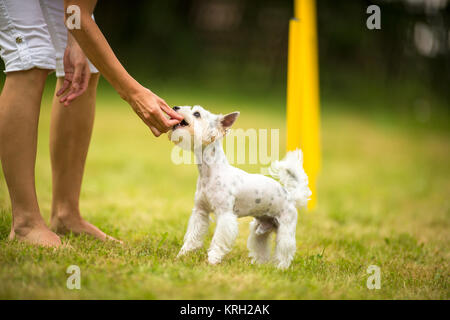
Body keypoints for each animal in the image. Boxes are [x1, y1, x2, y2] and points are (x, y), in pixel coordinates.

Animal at [168, 106, 310, 268]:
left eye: (197, 113)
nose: (175, 107)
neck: (209, 172)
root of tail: (290, 195)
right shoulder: (200, 212)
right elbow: (192, 236)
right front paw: (183, 254)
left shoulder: (225, 215)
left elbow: (218, 240)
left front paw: (212, 260)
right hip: (259, 231)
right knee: (261, 248)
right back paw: (258, 265)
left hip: (286, 229)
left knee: (284, 251)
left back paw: (281, 268)